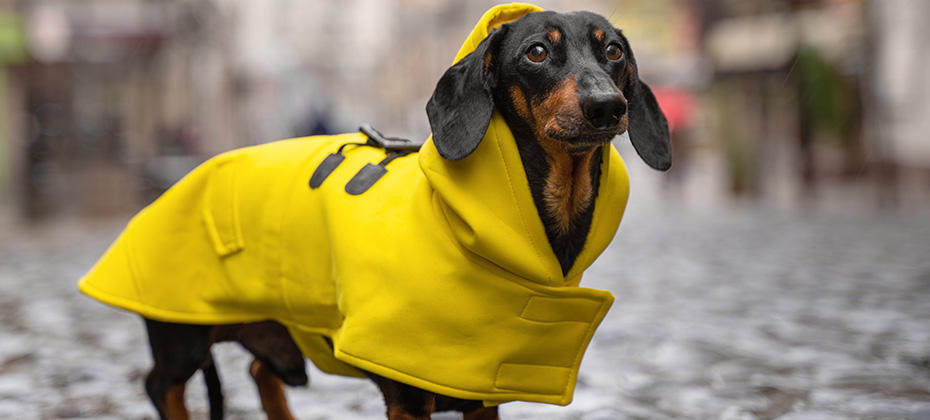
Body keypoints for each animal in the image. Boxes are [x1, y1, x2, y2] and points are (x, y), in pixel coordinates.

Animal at [105, 6, 668, 420]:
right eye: (537, 51)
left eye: (613, 50)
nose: (607, 106)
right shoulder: (409, 395)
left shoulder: (481, 393)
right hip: (182, 336)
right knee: (161, 385)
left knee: (260, 374)